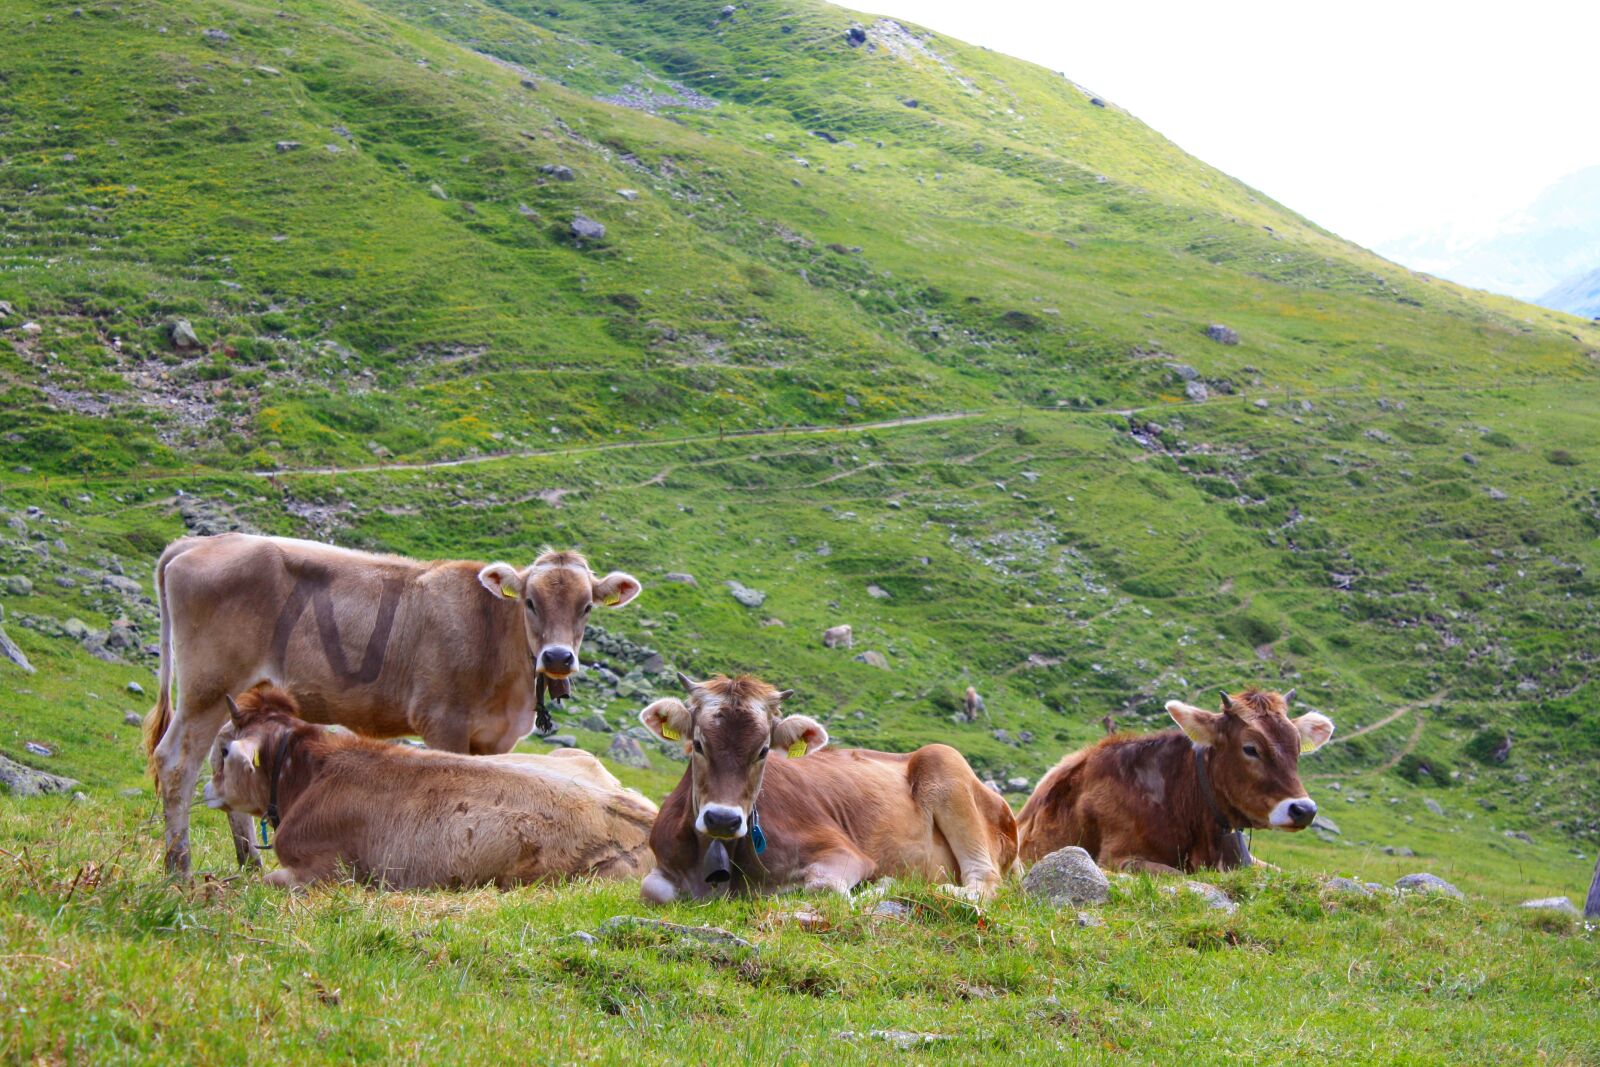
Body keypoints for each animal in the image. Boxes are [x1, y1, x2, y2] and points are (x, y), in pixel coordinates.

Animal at [143, 533, 641, 875]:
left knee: (223, 753)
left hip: (237, 695)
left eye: (587, 607)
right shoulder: (443, 722)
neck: (495, 638)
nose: (557, 657)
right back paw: (178, 870)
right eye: (531, 603)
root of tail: (196, 542)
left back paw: (248, 862)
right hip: (205, 688)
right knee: (175, 763)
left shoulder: (497, 738)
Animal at [636, 673, 1018, 903]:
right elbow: (651, 888)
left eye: (763, 751)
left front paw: (882, 885)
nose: (722, 819)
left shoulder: (844, 852)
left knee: (983, 882)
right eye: (699, 744)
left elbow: (826, 888)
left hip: (946, 762)